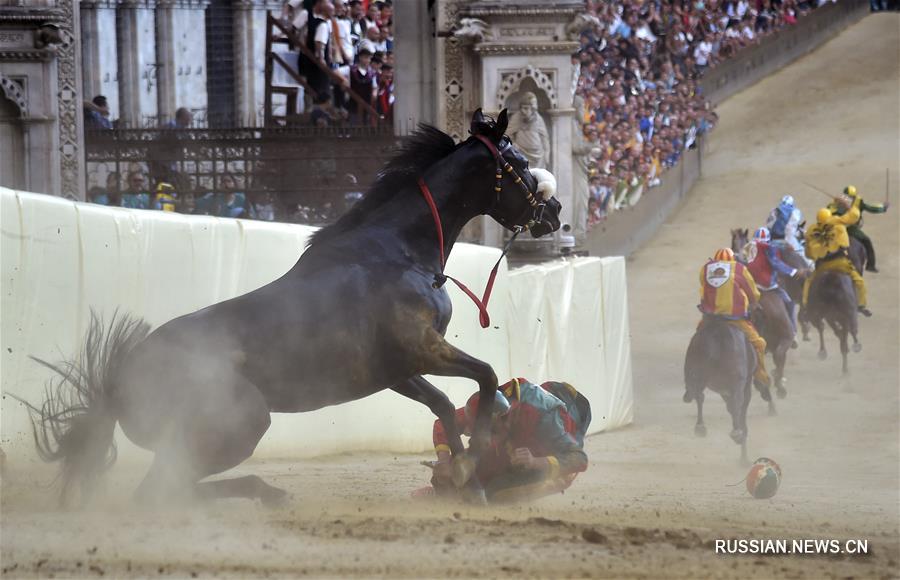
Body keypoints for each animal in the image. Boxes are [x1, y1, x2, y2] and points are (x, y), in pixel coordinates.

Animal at [15, 110, 564, 508]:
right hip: (242, 422)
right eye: (519, 163)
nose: (554, 212)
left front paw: (462, 474)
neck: (397, 253)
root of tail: (120, 381)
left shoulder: (397, 369)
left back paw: (267, 493)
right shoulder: (424, 349)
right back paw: (262, 495)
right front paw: (477, 463)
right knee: (160, 492)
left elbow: (445, 405)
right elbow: (487, 378)